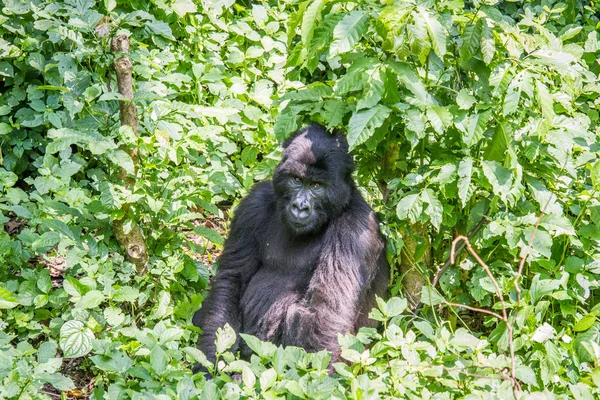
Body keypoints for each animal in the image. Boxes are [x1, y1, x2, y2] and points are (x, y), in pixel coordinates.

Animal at [192, 123, 390, 368]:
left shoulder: (356, 229)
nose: (300, 207)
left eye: (316, 186)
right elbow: (232, 279)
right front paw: (211, 361)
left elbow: (325, 310)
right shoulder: (253, 205)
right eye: (296, 180)